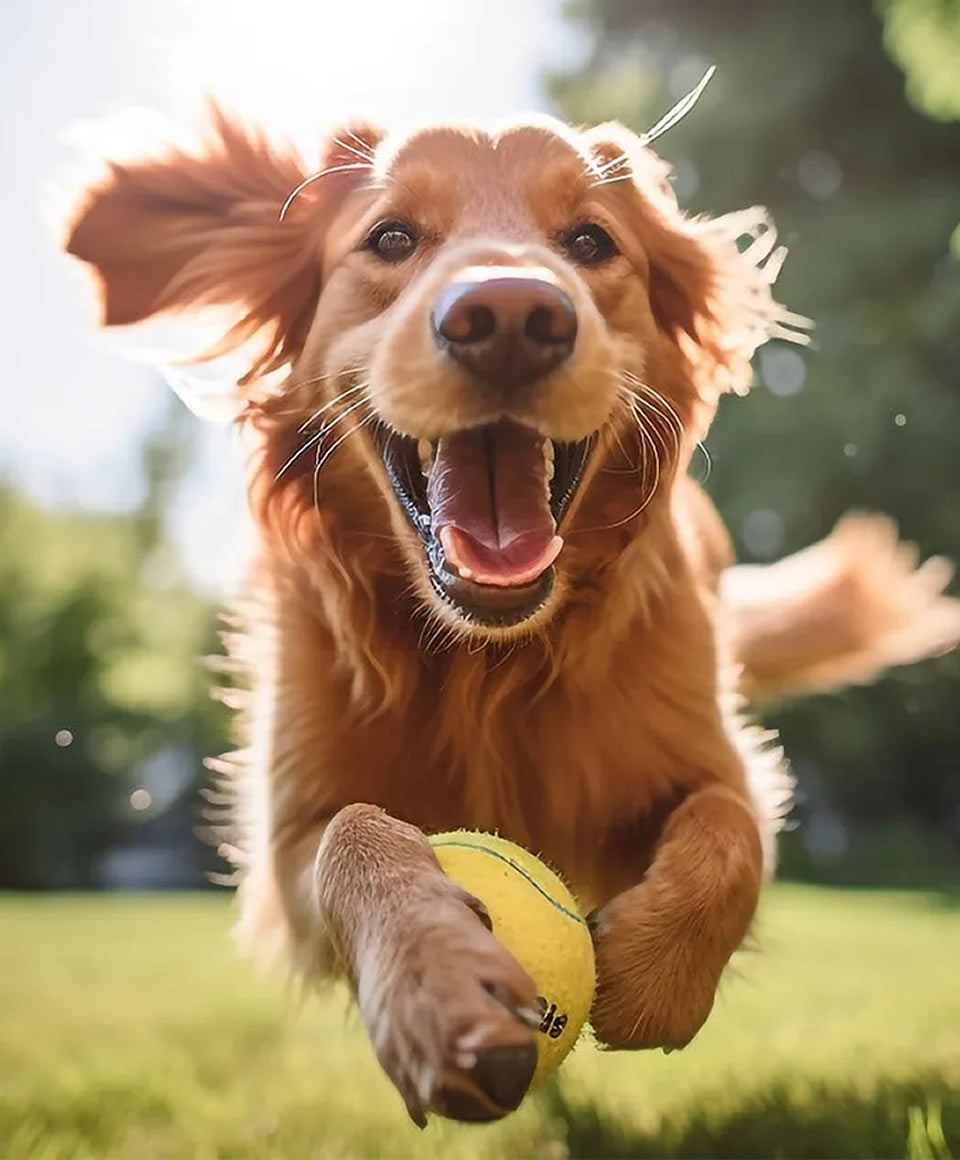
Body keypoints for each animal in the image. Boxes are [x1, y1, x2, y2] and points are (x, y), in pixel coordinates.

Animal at [63, 102, 955, 1122]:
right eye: (392, 237)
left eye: (591, 241)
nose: (512, 319)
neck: (486, 662)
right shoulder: (285, 840)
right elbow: (351, 835)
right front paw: (436, 985)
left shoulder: (709, 753)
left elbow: (731, 824)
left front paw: (656, 974)